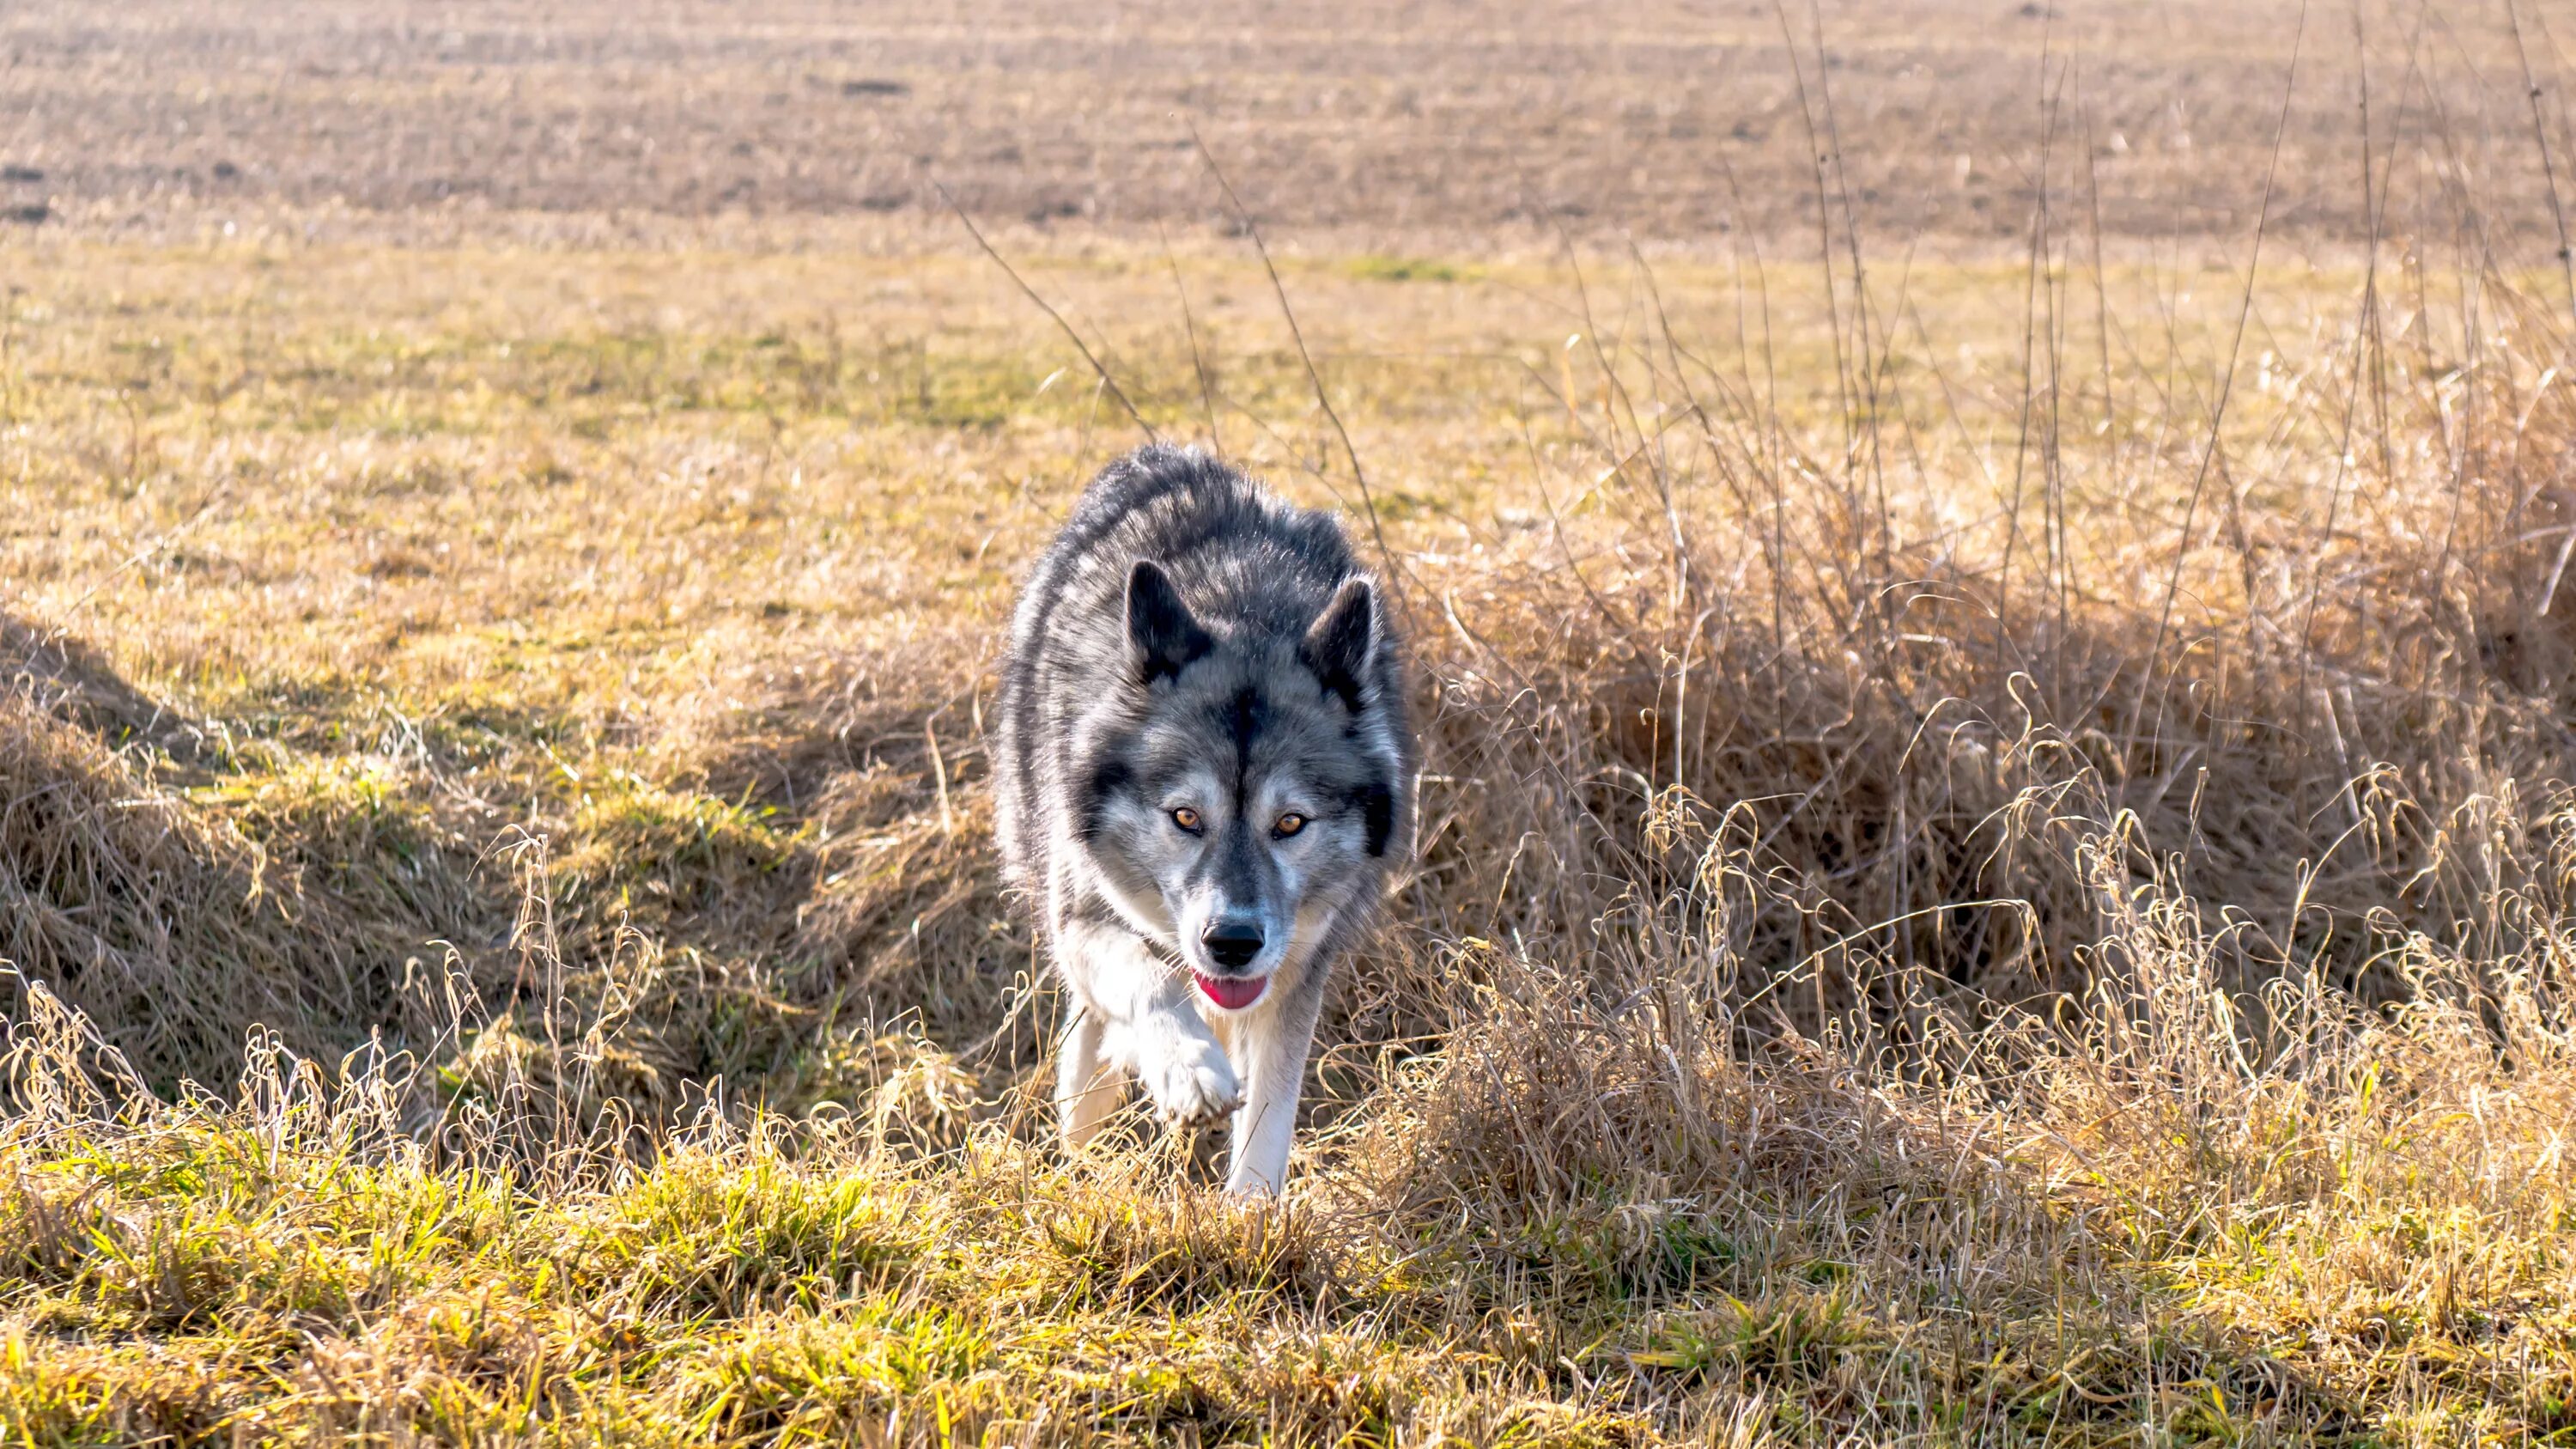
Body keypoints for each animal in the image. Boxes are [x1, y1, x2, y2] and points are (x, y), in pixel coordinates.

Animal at [989, 446, 1432, 1190]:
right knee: (1086, 1051)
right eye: (1186, 816)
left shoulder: (1296, 974)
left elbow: (1270, 1118)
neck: (1245, 607)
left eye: (1291, 823)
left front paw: (1250, 1209)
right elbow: (1150, 981)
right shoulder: (1084, 918)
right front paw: (1189, 1070)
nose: (1233, 941)